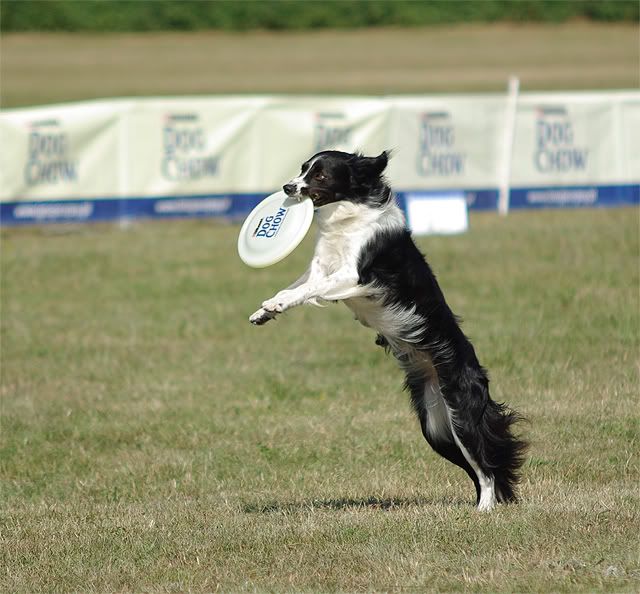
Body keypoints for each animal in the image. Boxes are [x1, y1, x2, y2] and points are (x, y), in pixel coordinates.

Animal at [249, 150, 527, 510]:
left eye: (320, 175)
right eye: (303, 169)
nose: (287, 187)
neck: (348, 216)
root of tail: (477, 371)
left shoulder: (352, 275)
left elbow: (307, 291)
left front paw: (276, 305)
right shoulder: (321, 266)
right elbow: (296, 286)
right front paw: (264, 311)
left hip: (461, 417)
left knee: (486, 466)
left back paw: (484, 510)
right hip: (435, 427)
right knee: (475, 467)